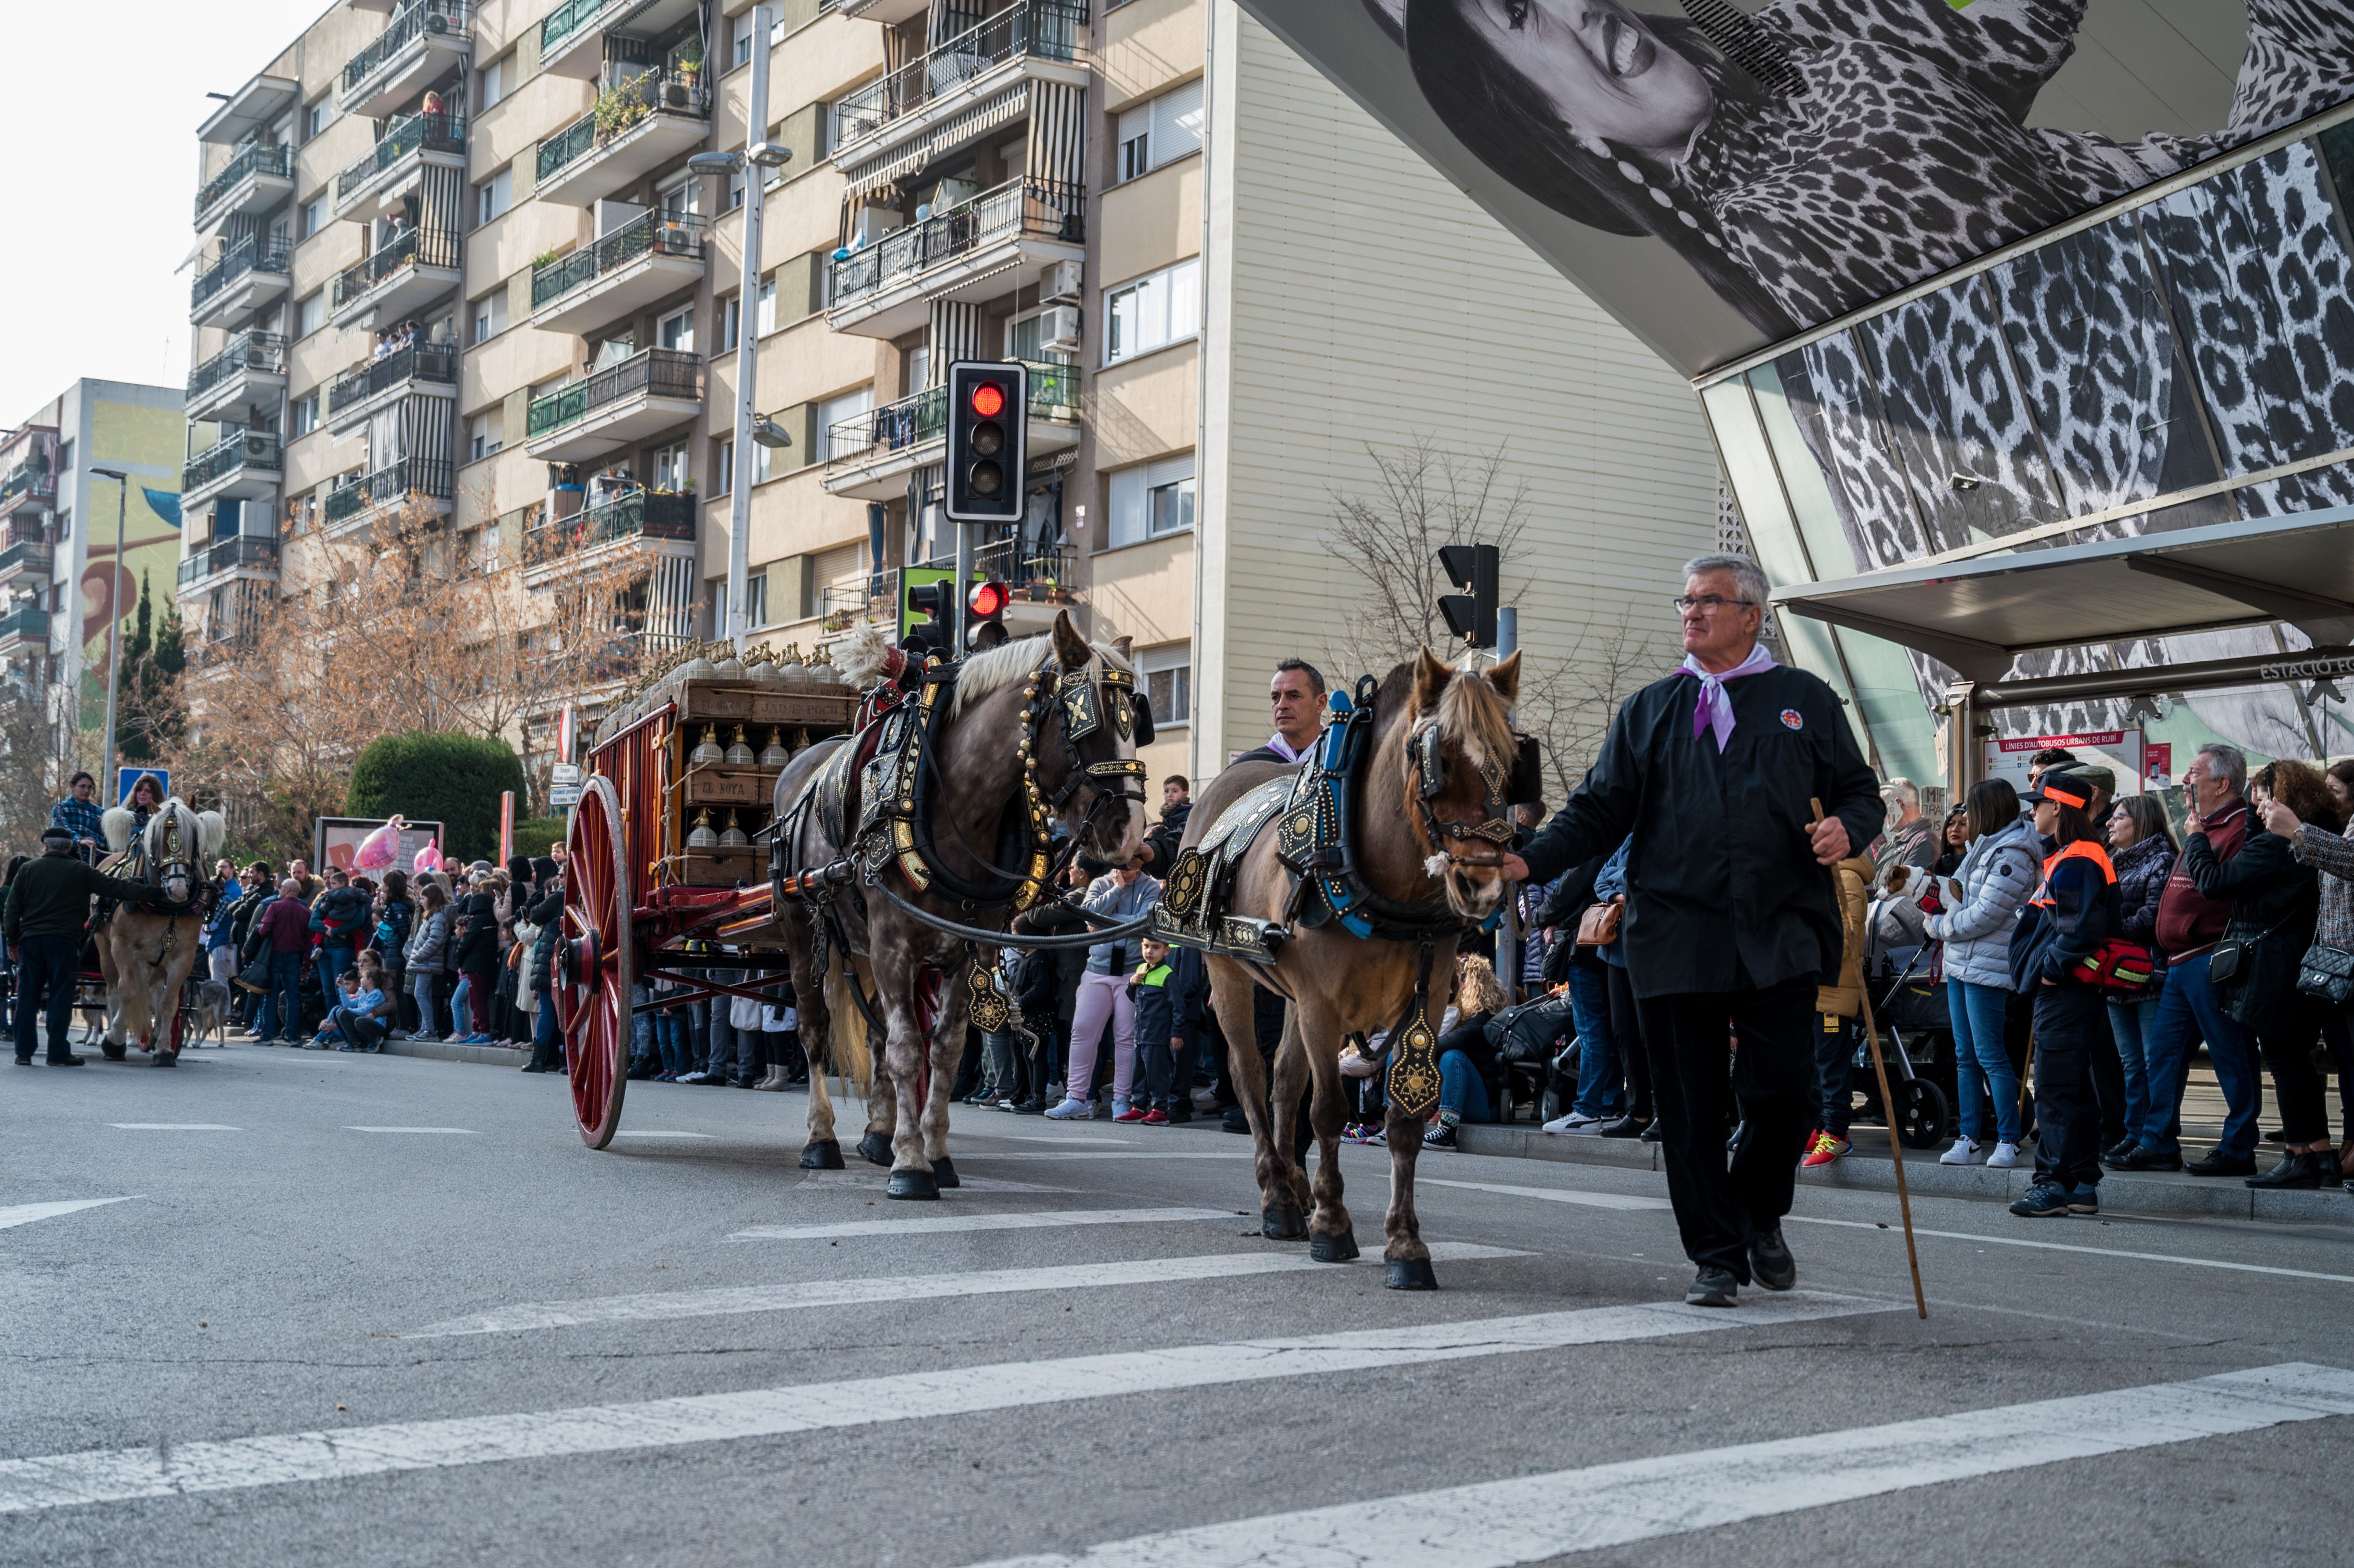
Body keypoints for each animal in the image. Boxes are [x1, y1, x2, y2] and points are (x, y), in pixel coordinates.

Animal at [1186, 645, 1516, 1280]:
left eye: (1511, 759)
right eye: (1436, 761)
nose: (1482, 885)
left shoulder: (1425, 996)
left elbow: (1403, 1120)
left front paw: (1405, 1244)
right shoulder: (1322, 1003)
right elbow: (1329, 1109)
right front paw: (1333, 1225)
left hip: (1291, 996)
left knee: (1284, 1079)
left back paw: (1295, 1189)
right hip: (1228, 971)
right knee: (1250, 1074)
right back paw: (1277, 1196)